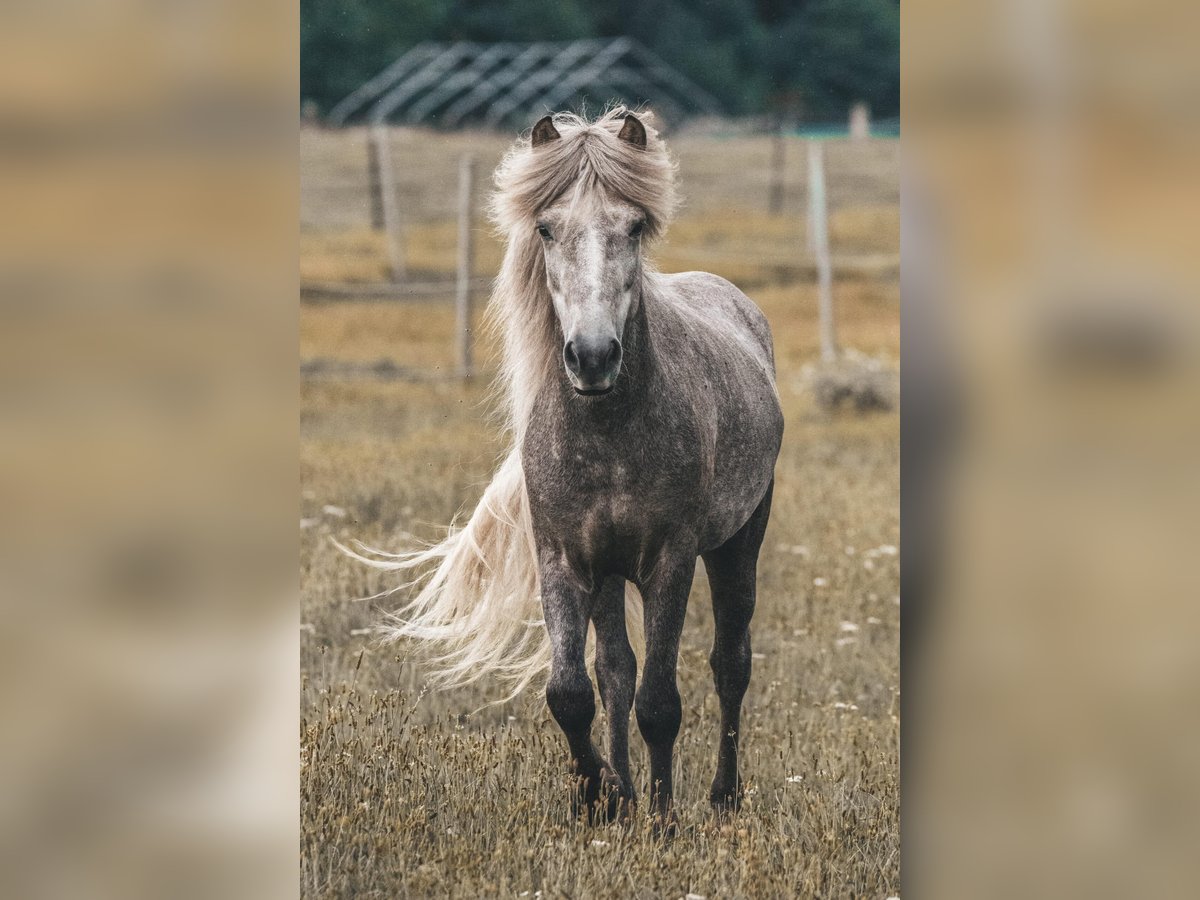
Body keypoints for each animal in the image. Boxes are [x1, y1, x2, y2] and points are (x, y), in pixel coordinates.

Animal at [352, 109, 787, 830]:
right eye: (547, 229)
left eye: (633, 227)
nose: (592, 355)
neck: (608, 435)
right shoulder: (563, 558)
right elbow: (575, 692)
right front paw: (602, 798)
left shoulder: (671, 561)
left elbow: (660, 702)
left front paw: (662, 821)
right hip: (609, 574)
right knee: (615, 670)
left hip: (737, 545)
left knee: (731, 663)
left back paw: (722, 797)